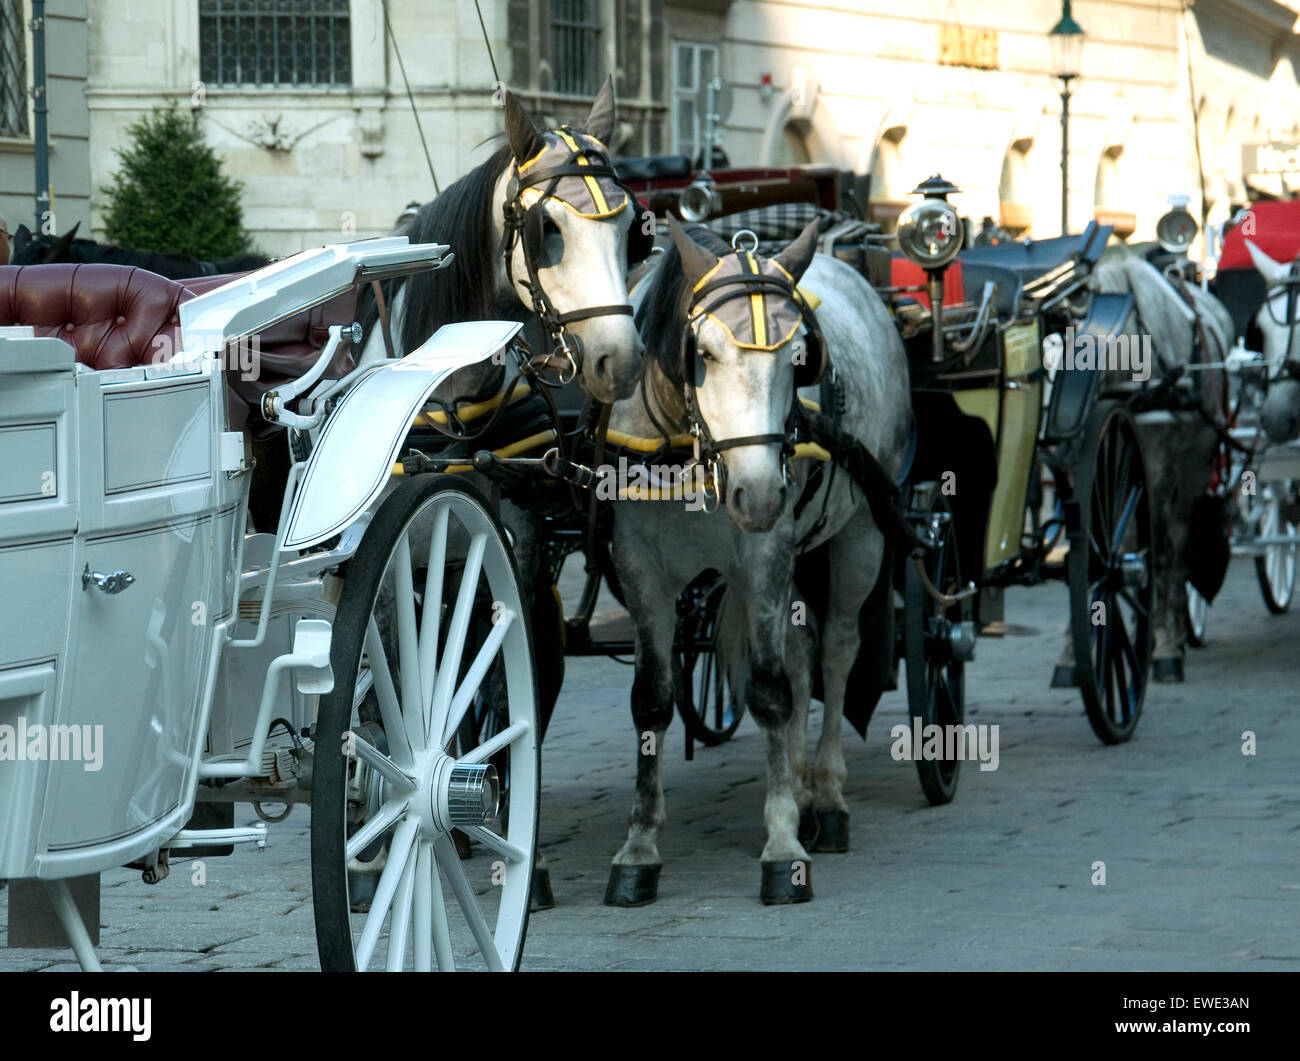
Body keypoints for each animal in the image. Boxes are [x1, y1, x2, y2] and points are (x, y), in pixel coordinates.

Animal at [603, 219, 909, 910]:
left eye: (800, 359)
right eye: (704, 353)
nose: (762, 493)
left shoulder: (766, 552)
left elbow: (769, 693)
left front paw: (783, 847)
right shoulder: (638, 568)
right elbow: (651, 700)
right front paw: (638, 850)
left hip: (859, 536)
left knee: (836, 652)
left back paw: (825, 794)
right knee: (799, 653)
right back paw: (794, 782)